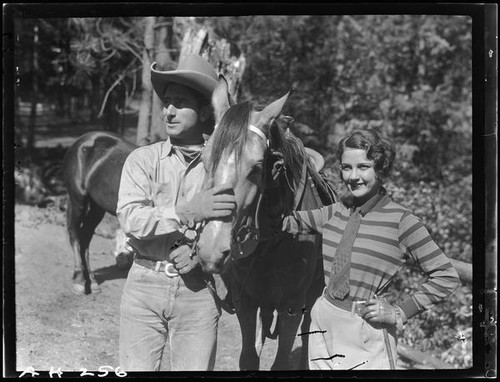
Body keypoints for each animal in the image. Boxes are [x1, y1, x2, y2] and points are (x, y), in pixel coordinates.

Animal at [61, 133, 138, 294]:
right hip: (79, 200)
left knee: (85, 237)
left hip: (97, 208)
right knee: (74, 233)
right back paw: (79, 281)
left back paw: (91, 281)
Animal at [195, 77, 336, 370]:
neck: (272, 240)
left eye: (258, 167)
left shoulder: (292, 307)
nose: (212, 249)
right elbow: (248, 358)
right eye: (204, 159)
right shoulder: (246, 303)